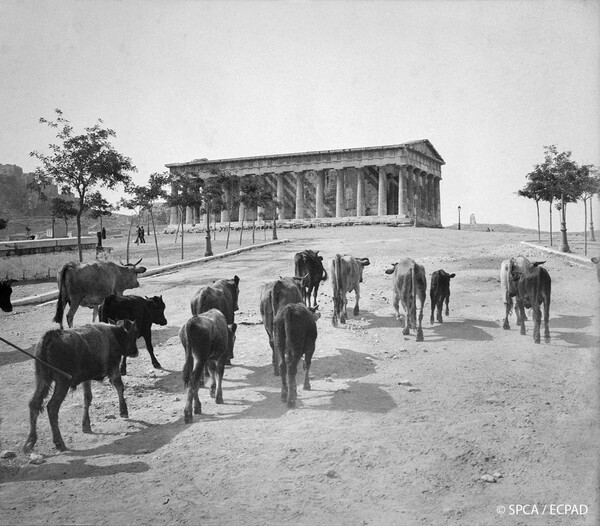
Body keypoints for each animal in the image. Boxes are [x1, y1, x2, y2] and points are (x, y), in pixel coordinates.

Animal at [22, 320, 138, 456]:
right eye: (134, 334)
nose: (136, 352)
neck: (114, 333)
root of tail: (50, 336)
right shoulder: (114, 368)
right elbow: (120, 387)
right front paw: (124, 411)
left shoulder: (86, 378)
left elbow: (88, 397)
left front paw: (86, 424)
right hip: (62, 382)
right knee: (52, 407)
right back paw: (59, 442)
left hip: (42, 379)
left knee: (34, 404)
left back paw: (30, 441)